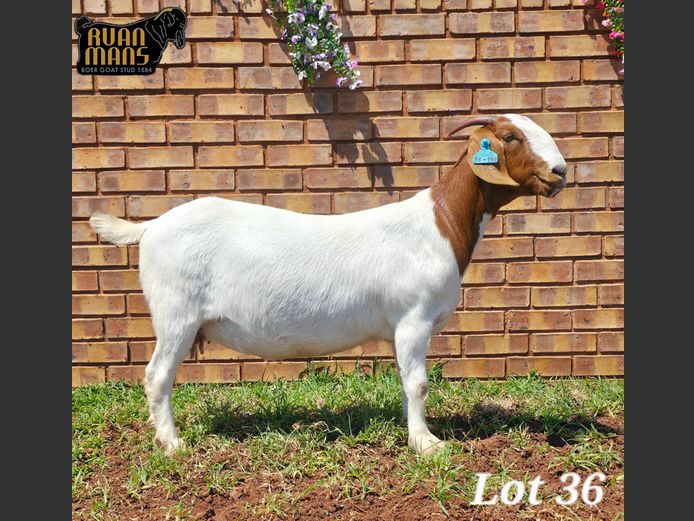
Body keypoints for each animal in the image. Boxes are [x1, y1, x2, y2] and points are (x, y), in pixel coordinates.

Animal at [90, 114, 567, 455]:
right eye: (510, 137)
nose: (560, 171)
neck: (440, 224)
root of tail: (151, 227)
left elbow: (406, 381)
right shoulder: (413, 318)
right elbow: (418, 383)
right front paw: (427, 444)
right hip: (176, 313)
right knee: (157, 376)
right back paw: (171, 444)